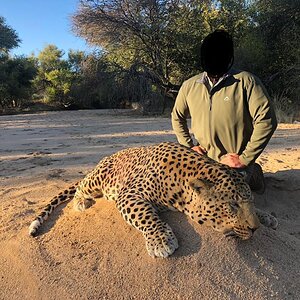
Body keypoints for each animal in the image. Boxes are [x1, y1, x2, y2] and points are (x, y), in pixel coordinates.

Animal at [28, 142, 276, 258]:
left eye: (249, 202)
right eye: (232, 206)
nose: (255, 229)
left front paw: (266, 217)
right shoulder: (130, 194)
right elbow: (146, 216)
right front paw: (161, 241)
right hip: (98, 176)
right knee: (81, 186)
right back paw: (81, 202)